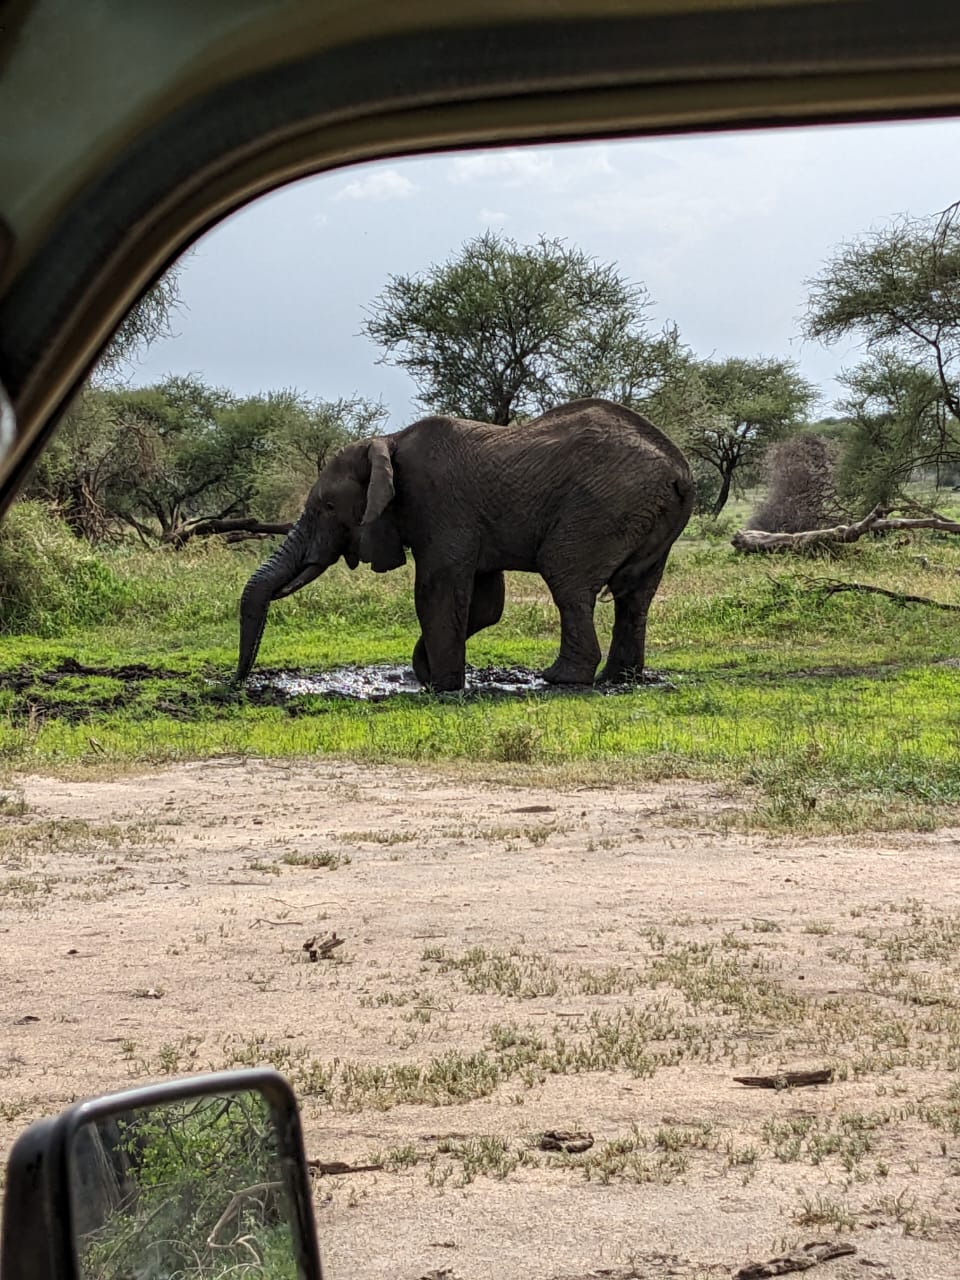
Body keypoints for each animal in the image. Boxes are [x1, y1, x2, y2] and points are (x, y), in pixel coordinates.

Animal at [236, 398, 694, 692]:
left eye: (329, 506)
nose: (239, 683)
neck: (388, 439)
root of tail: (680, 469)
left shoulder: (439, 504)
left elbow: (435, 589)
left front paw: (441, 685)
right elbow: (488, 604)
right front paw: (428, 672)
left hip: (602, 507)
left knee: (567, 578)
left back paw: (561, 679)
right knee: (635, 595)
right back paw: (620, 679)